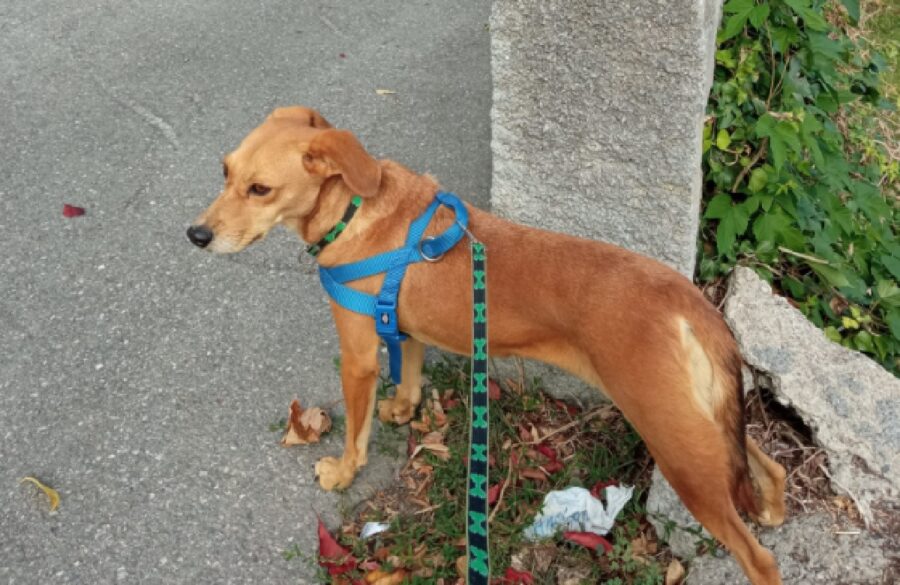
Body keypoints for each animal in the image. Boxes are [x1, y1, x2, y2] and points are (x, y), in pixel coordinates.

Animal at [190, 106, 788, 584]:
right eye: (225, 172)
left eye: (260, 189)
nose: (196, 236)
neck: (354, 209)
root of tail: (689, 300)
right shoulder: (405, 330)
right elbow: (409, 377)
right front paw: (404, 409)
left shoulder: (358, 358)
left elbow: (357, 435)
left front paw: (341, 471)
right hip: (697, 424)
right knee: (767, 467)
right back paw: (774, 508)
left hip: (675, 443)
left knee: (760, 558)